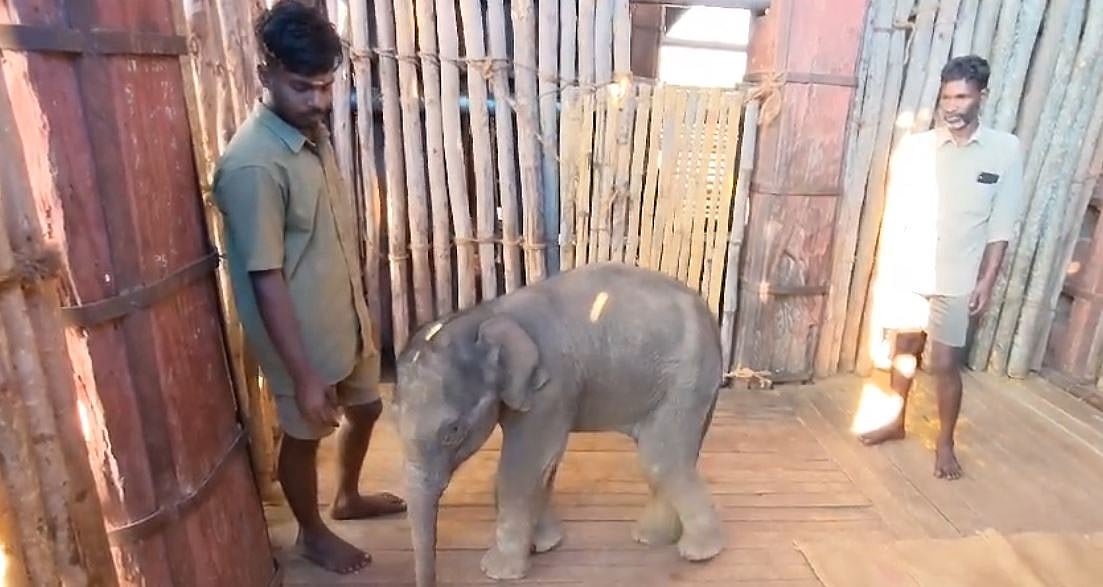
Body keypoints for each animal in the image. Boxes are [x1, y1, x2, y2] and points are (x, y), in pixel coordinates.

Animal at [391, 262, 727, 586]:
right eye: (394, 420)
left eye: (453, 431)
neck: (489, 314)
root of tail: (708, 313)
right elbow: (544, 466)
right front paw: (544, 546)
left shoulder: (550, 387)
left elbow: (522, 467)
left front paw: (498, 572)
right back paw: (653, 539)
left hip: (684, 377)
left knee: (659, 459)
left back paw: (699, 553)